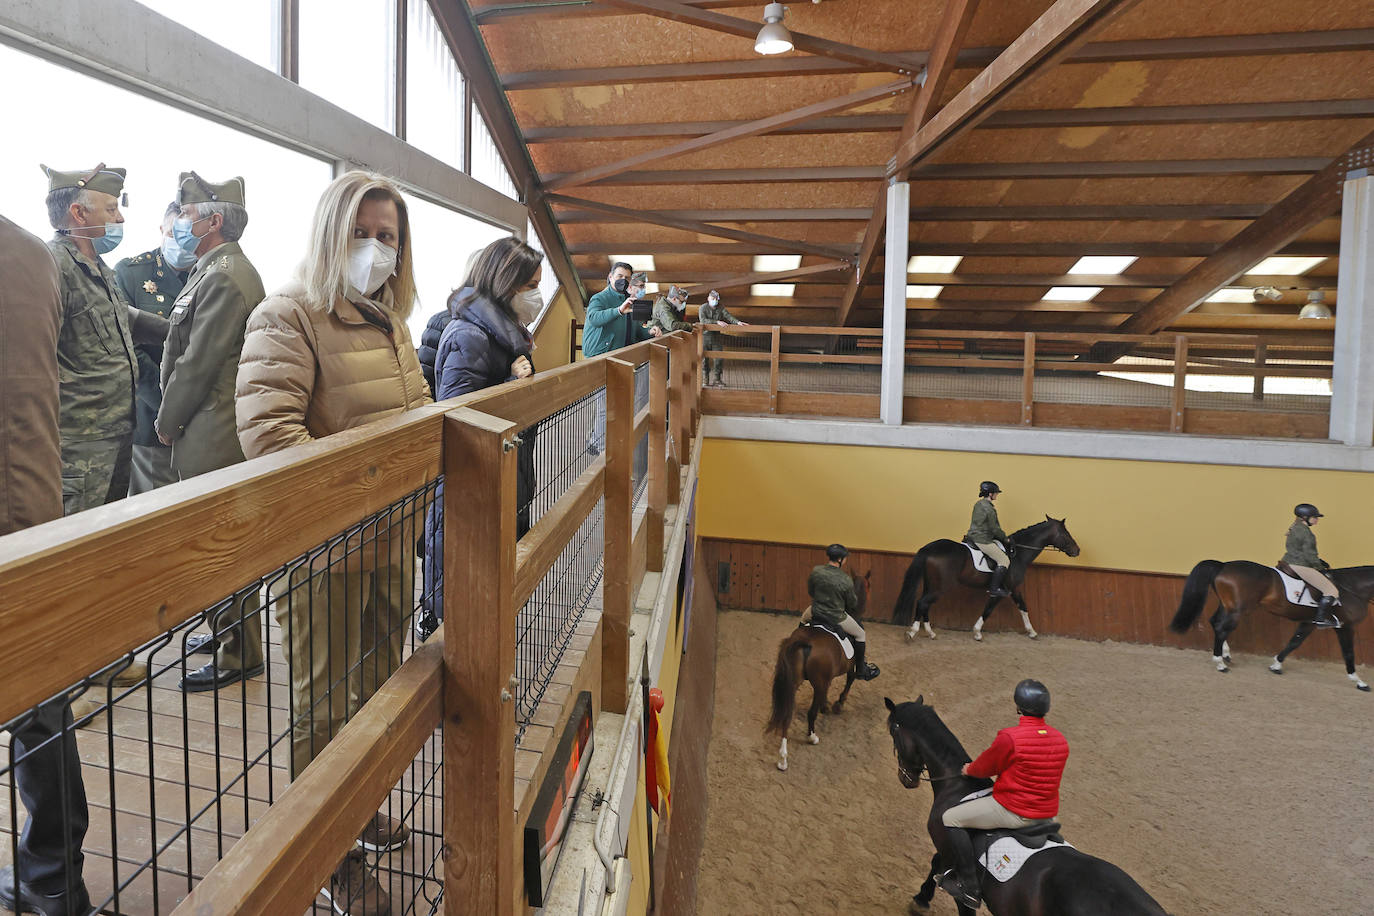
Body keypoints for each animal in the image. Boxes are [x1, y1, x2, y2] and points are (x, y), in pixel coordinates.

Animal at [763, 568, 868, 769]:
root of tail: (805, 641)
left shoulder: (826, 678)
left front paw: (826, 705)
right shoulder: (849, 666)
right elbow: (850, 679)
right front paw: (838, 704)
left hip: (793, 682)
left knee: (788, 712)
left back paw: (783, 758)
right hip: (816, 682)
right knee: (810, 713)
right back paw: (812, 737)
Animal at [879, 697, 1170, 911]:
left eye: (893, 732)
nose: (906, 779)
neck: (956, 783)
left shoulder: (952, 848)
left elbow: (941, 867)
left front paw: (921, 899)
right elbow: (936, 860)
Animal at [890, 519, 1082, 642]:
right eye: (1066, 534)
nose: (1077, 550)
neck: (1017, 554)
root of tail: (930, 547)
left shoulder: (1014, 589)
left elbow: (1023, 607)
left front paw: (1032, 632)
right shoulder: (1004, 590)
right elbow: (989, 610)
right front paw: (977, 633)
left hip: (932, 584)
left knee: (925, 604)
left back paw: (930, 633)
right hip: (940, 587)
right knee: (923, 603)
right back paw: (912, 633)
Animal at [1170, 563, 1374, 692]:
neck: (1352, 588)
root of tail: (1223, 565)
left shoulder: (1309, 623)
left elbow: (1294, 642)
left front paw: (1276, 664)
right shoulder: (1345, 627)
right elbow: (1349, 654)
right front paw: (1359, 682)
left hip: (1228, 606)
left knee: (1215, 622)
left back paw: (1225, 654)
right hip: (1237, 610)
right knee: (1221, 628)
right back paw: (1220, 663)